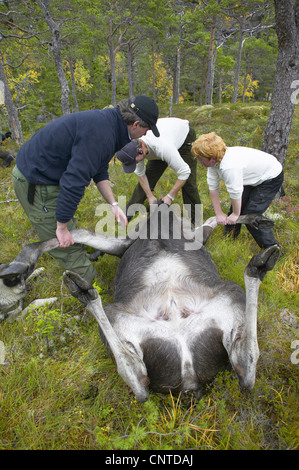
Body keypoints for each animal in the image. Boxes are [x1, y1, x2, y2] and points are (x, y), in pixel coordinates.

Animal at [0, 204, 282, 402]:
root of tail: (190, 382)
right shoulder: (131, 241)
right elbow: (69, 235)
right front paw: (18, 267)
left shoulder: (130, 241)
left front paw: (257, 218)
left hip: (225, 296)